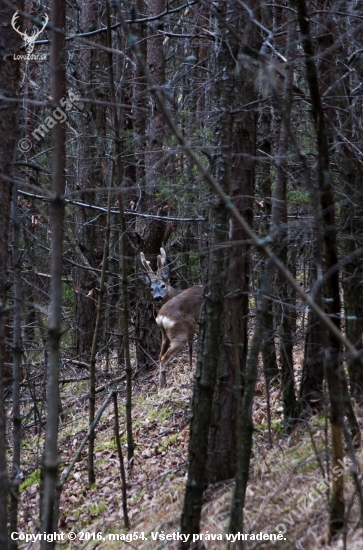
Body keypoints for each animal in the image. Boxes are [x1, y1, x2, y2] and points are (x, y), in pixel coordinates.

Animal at [141, 250, 205, 388]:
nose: (157, 297)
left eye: (163, 285)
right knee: (164, 358)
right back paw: (163, 386)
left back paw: (161, 385)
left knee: (160, 356)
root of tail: (161, 317)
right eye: (151, 288)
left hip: (166, 335)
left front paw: (190, 369)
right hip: (180, 334)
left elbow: (191, 348)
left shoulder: (192, 330)